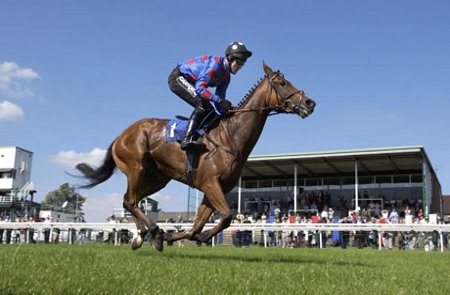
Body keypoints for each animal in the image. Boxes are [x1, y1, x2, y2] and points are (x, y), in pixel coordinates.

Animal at [76, 63, 316, 252]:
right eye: (283, 83)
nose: (309, 103)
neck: (230, 136)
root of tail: (121, 135)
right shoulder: (210, 184)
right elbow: (226, 217)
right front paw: (177, 235)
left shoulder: (215, 189)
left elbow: (198, 225)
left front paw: (176, 235)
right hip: (135, 167)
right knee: (130, 200)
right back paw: (151, 231)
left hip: (157, 178)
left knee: (130, 201)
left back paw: (141, 237)